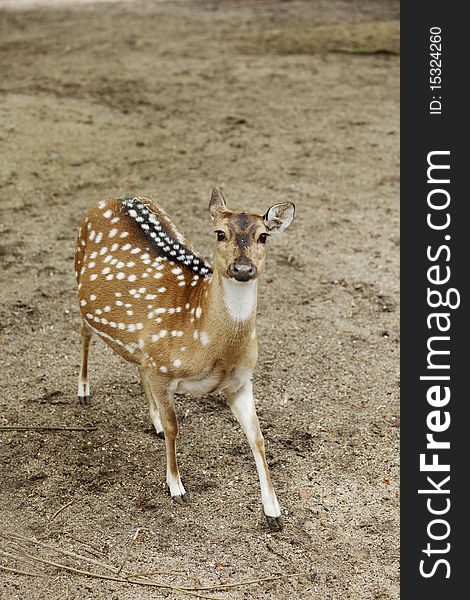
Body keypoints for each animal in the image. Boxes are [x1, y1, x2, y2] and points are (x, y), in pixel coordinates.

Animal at [74, 188, 294, 528]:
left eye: (263, 236)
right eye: (220, 233)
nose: (243, 268)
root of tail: (114, 198)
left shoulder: (240, 381)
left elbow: (257, 437)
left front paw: (273, 510)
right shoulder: (163, 370)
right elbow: (175, 426)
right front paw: (176, 486)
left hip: (143, 345)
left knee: (138, 365)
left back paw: (153, 421)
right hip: (79, 284)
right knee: (85, 333)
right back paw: (83, 390)